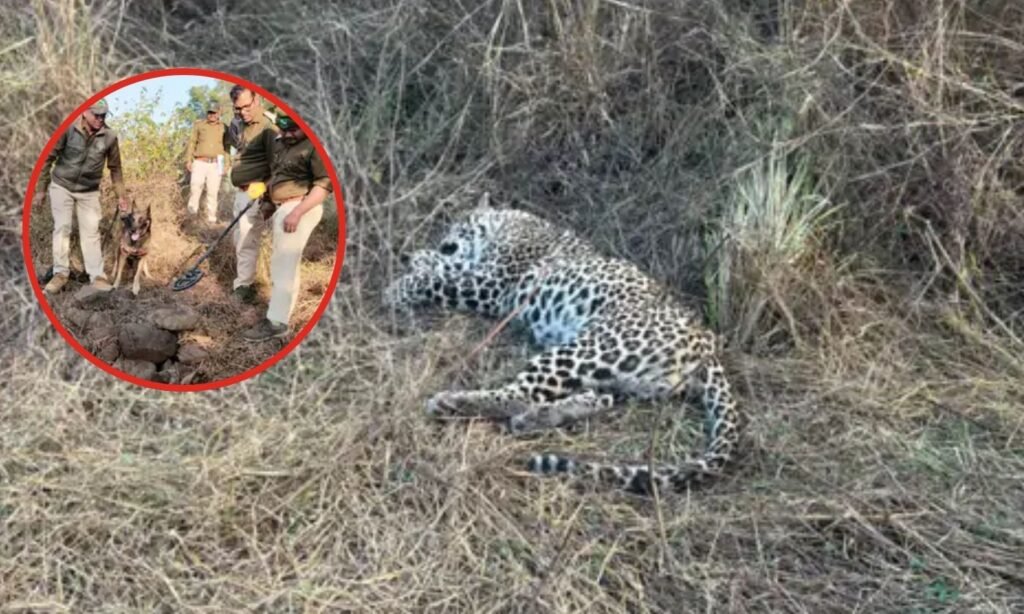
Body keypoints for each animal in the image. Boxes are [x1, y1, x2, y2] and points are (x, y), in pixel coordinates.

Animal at [383, 193, 743, 495]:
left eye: (459, 225)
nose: (445, 242)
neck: (510, 222)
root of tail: (707, 344)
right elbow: (448, 268)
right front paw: (419, 257)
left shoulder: (494, 286)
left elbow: (443, 279)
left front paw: (400, 286)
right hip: (625, 377)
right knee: (595, 398)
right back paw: (535, 418)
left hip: (592, 347)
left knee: (518, 394)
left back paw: (453, 402)